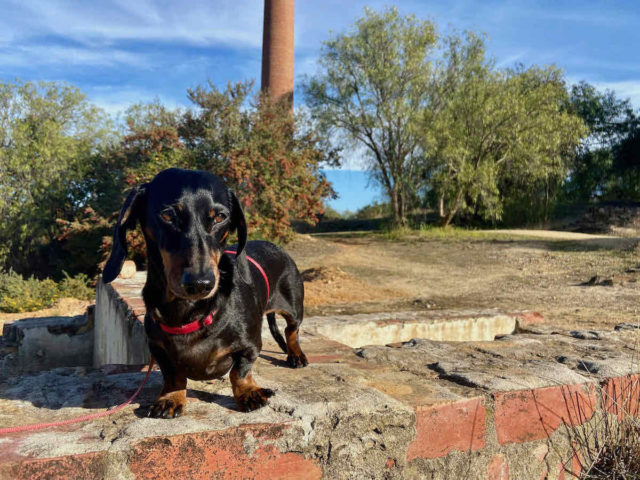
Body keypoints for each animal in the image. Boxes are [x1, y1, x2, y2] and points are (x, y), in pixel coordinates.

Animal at [102, 168, 308, 416]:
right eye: (168, 215)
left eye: (220, 217)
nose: (200, 283)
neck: (190, 312)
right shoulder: (158, 349)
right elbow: (173, 376)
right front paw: (170, 398)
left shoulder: (250, 346)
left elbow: (239, 371)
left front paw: (249, 392)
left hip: (294, 308)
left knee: (292, 330)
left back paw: (296, 355)